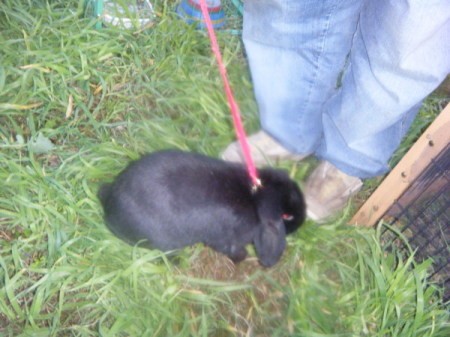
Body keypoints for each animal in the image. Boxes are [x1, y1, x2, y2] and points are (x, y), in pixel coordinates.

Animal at [98, 149, 306, 266]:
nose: (301, 221)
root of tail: (109, 209)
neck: (254, 197)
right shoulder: (226, 239)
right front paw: (243, 258)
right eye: (286, 216)